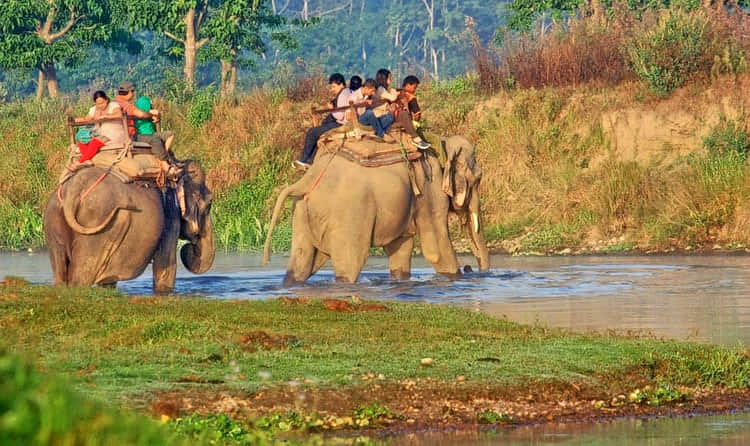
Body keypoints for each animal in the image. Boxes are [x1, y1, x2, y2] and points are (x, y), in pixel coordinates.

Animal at [43, 160, 215, 293]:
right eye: (209, 204)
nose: (189, 248)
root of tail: (73, 190)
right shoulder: (170, 216)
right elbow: (165, 267)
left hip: (52, 220)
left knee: (60, 271)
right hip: (96, 228)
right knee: (81, 276)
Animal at [263, 134, 489, 284]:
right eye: (478, 178)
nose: (470, 268)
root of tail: (307, 179)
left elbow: (400, 248)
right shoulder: (429, 189)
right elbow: (436, 250)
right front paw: (455, 278)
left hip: (301, 211)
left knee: (300, 263)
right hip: (349, 216)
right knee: (350, 263)